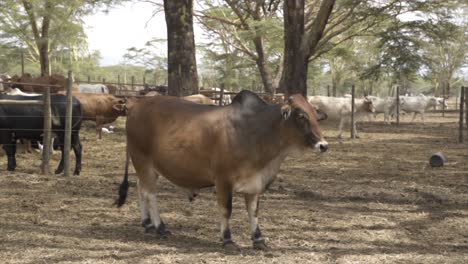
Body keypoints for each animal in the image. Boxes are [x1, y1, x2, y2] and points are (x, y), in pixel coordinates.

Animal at [114, 89, 328, 251]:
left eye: (316, 115)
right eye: (301, 116)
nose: (323, 145)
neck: (255, 132)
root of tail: (136, 105)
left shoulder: (255, 182)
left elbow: (253, 211)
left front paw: (258, 239)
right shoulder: (223, 179)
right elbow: (226, 209)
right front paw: (227, 239)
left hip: (149, 166)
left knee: (141, 188)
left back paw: (147, 223)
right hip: (142, 159)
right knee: (150, 193)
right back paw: (160, 227)